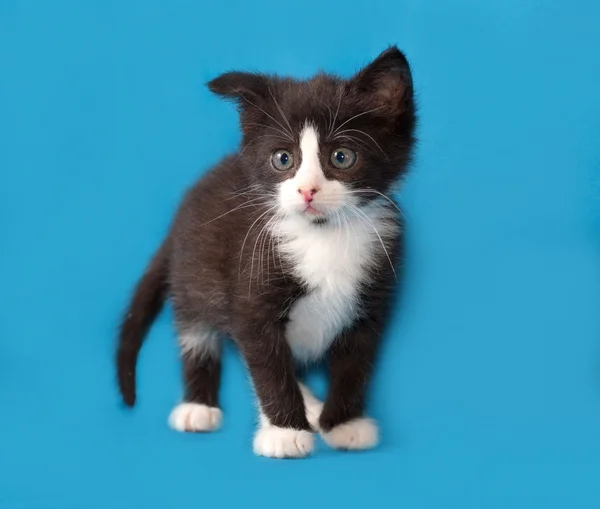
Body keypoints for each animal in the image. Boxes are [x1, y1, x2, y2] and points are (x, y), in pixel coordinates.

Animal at [117, 46, 418, 456]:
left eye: (342, 157)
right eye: (283, 159)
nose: (307, 191)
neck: (322, 236)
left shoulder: (373, 294)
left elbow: (356, 363)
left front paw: (344, 424)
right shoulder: (251, 290)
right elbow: (268, 365)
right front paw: (285, 432)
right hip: (195, 274)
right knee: (197, 334)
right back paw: (198, 407)